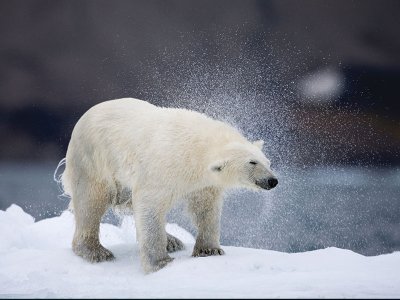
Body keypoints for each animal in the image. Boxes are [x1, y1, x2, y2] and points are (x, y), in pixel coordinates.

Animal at [60, 97, 278, 274]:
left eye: (267, 162)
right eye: (252, 162)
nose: (272, 181)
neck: (195, 148)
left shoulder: (202, 183)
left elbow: (205, 208)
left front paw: (209, 249)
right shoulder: (162, 167)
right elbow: (150, 206)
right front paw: (160, 262)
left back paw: (172, 240)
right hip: (93, 159)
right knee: (91, 201)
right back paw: (96, 251)